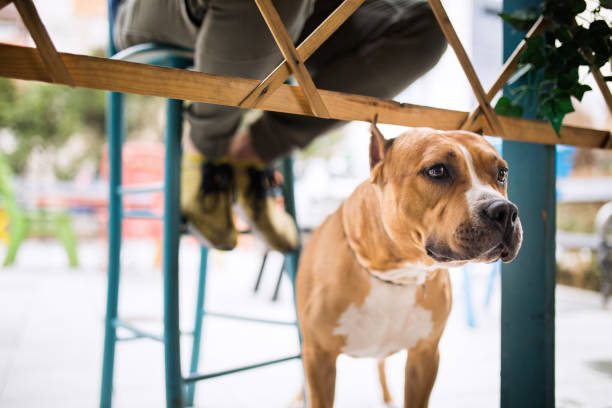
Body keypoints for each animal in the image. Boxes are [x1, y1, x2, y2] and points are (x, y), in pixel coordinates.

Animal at [296, 125, 520, 408]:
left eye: (502, 173)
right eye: (437, 171)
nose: (505, 211)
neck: (399, 274)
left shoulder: (424, 356)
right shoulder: (318, 356)